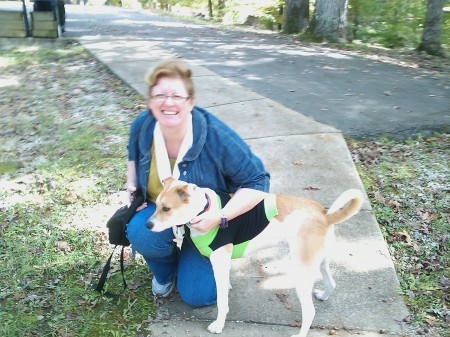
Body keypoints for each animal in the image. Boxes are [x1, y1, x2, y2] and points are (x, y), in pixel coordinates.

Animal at [146, 177, 364, 334]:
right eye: (156, 205)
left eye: (166, 208)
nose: (148, 225)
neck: (204, 210)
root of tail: (325, 215)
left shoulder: (219, 261)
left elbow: (222, 301)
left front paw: (219, 324)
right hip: (319, 263)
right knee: (331, 283)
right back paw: (324, 295)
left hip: (303, 273)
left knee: (309, 312)